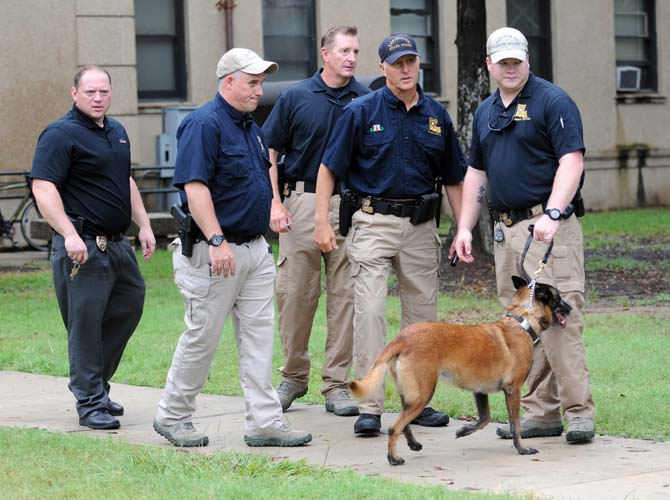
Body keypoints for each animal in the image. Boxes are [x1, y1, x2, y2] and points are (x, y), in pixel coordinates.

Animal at [350, 278, 576, 464]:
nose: (571, 308)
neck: (522, 321)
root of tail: (402, 338)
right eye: (559, 298)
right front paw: (521, 448)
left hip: (410, 395)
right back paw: (393, 458)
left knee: (404, 421)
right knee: (394, 427)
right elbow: (515, 425)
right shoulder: (513, 390)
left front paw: (464, 430)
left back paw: (413, 444)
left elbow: (485, 419)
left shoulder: (480, 390)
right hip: (423, 393)